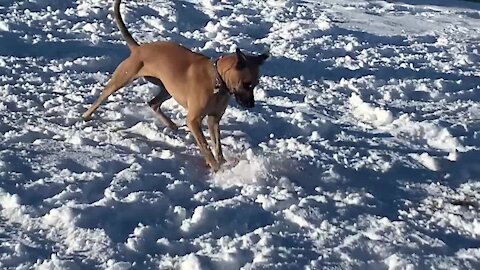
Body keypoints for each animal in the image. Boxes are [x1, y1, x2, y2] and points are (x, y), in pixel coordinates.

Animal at [83, 0, 270, 171]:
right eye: (246, 84)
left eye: (255, 85)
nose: (251, 105)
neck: (217, 81)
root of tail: (139, 48)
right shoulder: (194, 120)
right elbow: (205, 146)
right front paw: (216, 167)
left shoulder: (214, 119)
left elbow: (217, 145)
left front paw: (223, 163)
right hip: (122, 79)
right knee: (102, 97)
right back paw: (85, 116)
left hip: (167, 89)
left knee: (153, 103)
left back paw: (171, 125)